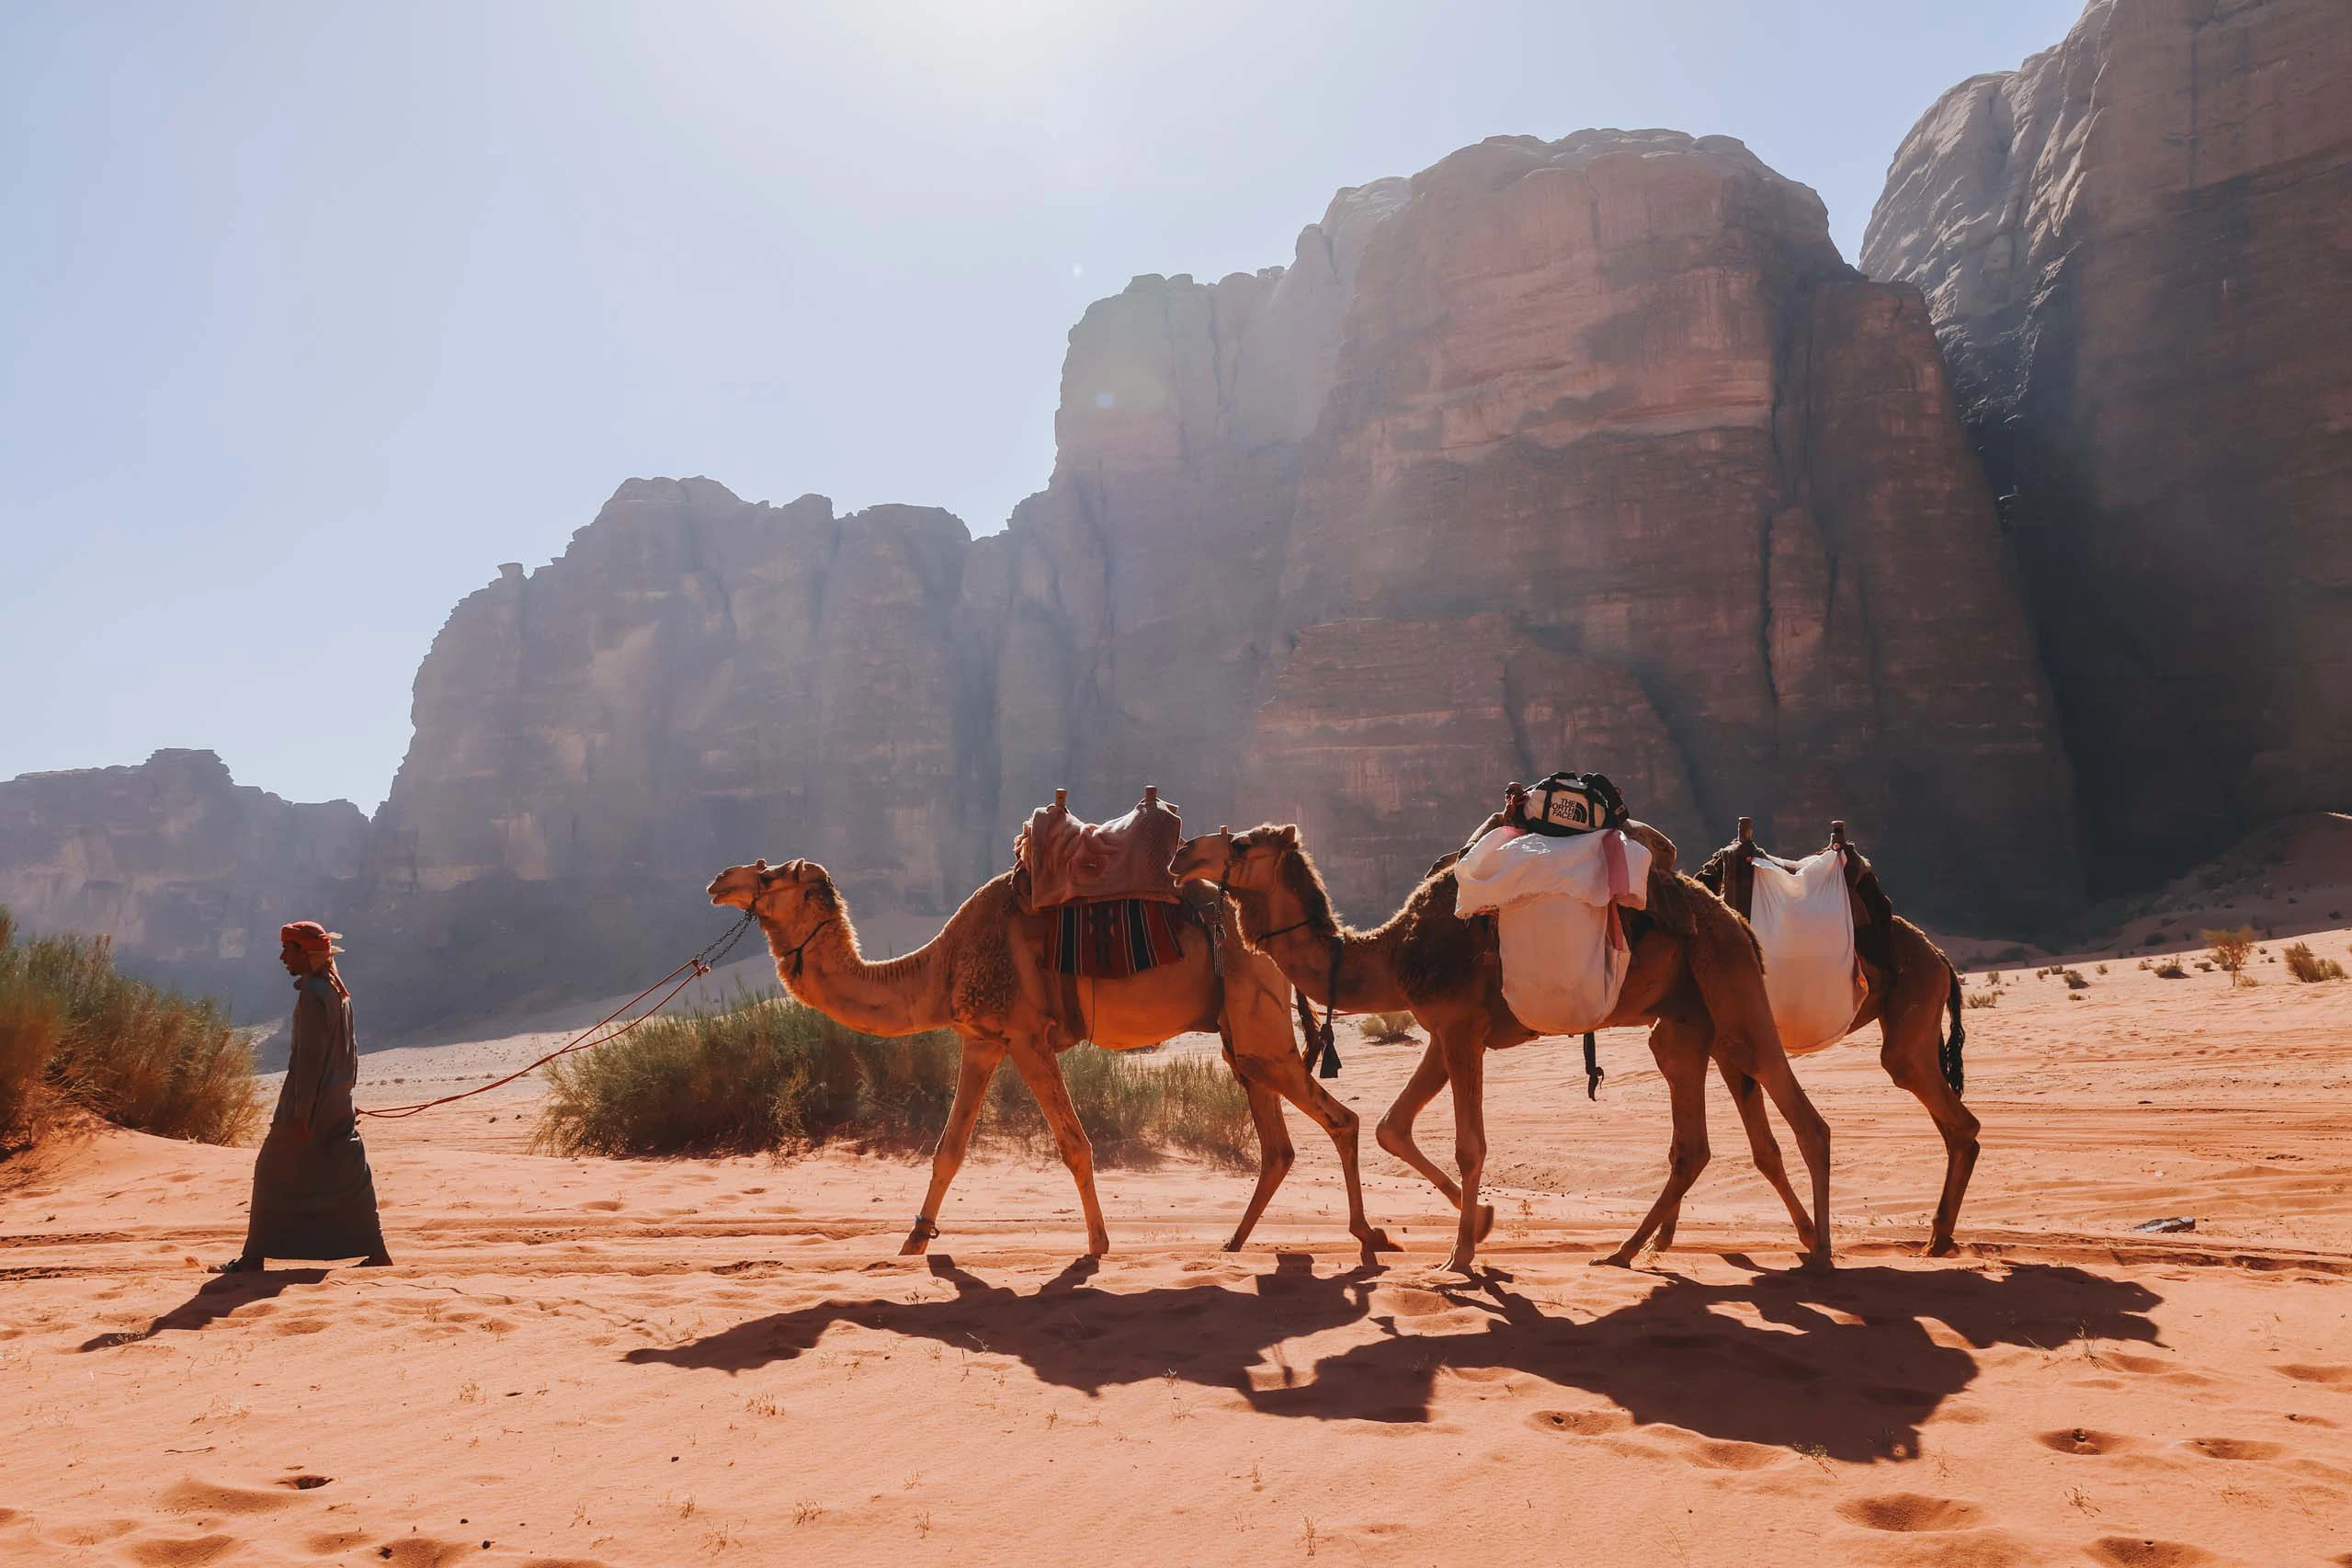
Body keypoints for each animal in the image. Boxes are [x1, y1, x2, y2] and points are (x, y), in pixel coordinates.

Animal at [705, 858, 1396, 1259]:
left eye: (767, 876)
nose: (717, 882)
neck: (941, 967)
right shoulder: (982, 1038)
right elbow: (948, 1148)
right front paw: (912, 1242)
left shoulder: (1026, 1035)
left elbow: (1074, 1143)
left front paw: (1096, 1245)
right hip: (1240, 1033)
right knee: (1277, 1144)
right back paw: (1234, 1242)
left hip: (1255, 1019)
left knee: (1339, 1119)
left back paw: (1366, 1235)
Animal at [1170, 823, 1834, 1275]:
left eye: (1237, 843)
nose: (1181, 855)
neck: (1390, 954)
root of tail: (1734, 920)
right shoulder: (1445, 1030)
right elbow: (1392, 1127)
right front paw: (1482, 1225)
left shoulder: (1461, 1028)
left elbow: (1469, 1144)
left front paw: (1460, 1256)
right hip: (1686, 1019)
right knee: (1692, 1141)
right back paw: (1625, 1252)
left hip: (1731, 986)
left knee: (1803, 1117)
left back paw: (1821, 1249)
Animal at [1692, 819, 1979, 1255]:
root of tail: (1942, 959)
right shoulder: (1729, 1051)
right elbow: (1763, 1151)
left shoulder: (1732, 1047)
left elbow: (1765, 1149)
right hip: (1923, 1028)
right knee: (1951, 1125)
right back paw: (1939, 1237)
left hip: (1913, 1009)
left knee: (1954, 1119)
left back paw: (1938, 1239)